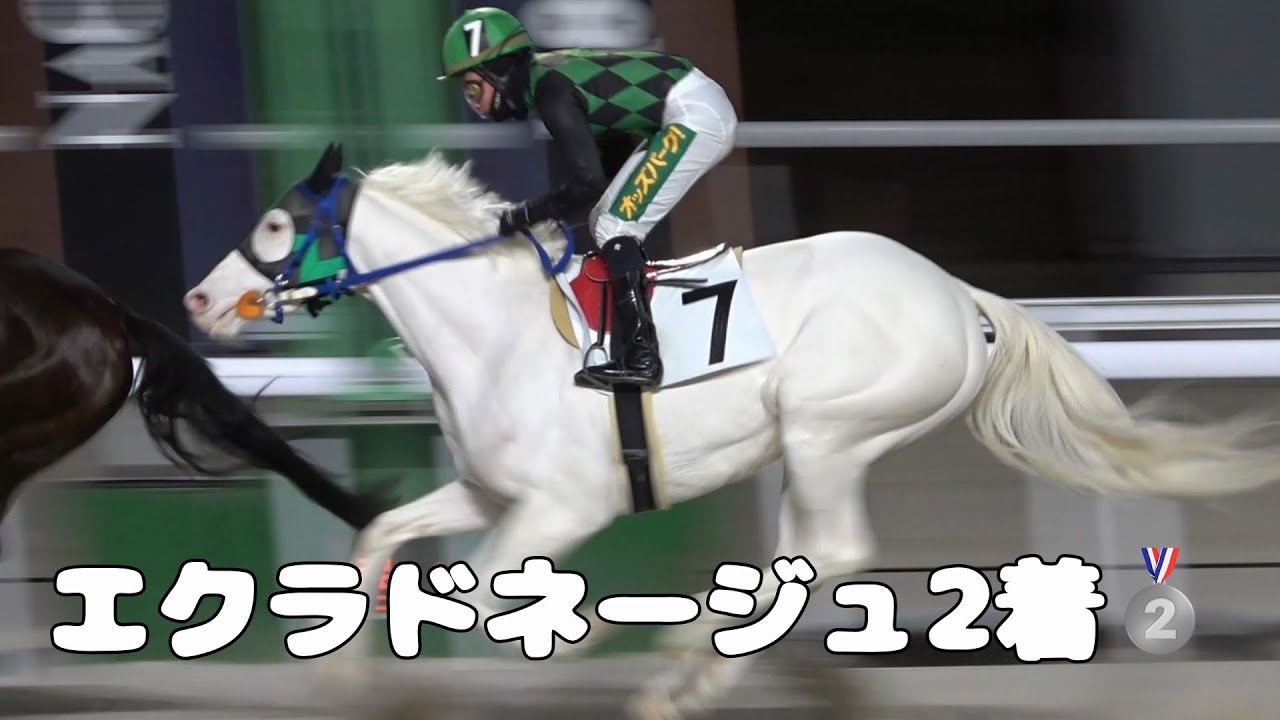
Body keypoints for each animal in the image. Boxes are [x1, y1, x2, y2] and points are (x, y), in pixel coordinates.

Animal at [184, 143, 1280, 719]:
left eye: (277, 225)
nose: (196, 298)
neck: (488, 332)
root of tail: (957, 294)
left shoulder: (563, 506)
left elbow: (492, 593)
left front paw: (584, 635)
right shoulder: (495, 490)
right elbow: (383, 536)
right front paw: (344, 667)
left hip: (827, 426)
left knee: (835, 548)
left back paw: (689, 658)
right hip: (813, 446)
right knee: (804, 556)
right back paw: (696, 660)